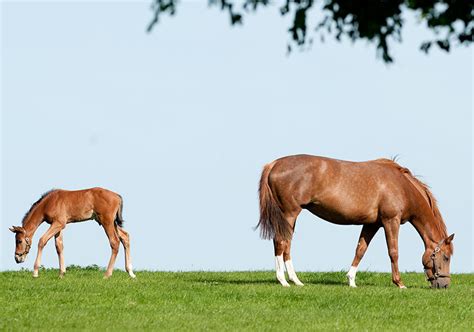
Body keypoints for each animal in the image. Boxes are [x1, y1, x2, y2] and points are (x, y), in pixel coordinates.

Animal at [258, 156, 454, 288]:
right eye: (445, 257)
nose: (444, 285)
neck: (402, 187)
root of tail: (274, 164)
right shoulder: (391, 221)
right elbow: (393, 252)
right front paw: (399, 283)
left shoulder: (372, 224)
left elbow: (360, 250)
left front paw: (351, 280)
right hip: (289, 213)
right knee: (281, 242)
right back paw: (283, 281)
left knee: (286, 244)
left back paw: (295, 280)